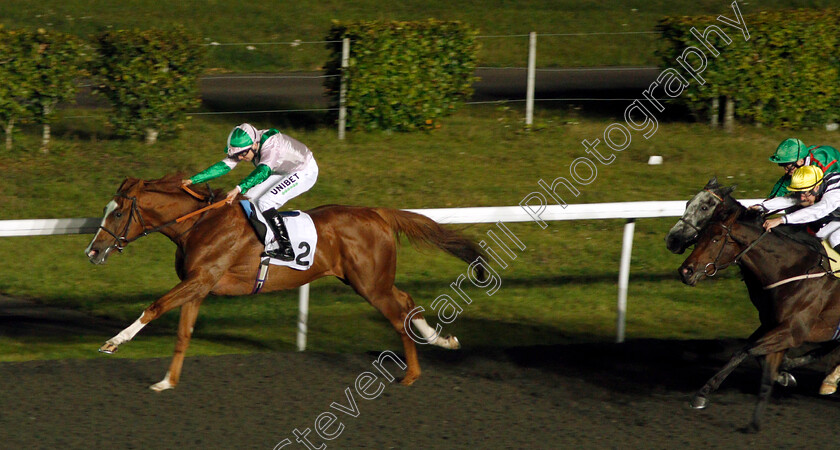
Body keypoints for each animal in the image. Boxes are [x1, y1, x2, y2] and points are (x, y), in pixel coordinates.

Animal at [85, 174, 486, 392]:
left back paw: (412, 374)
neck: (200, 223)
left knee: (398, 314)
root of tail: (377, 212)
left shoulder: (201, 278)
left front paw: (113, 343)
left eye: (118, 213)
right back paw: (442, 340)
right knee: (407, 300)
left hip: (370, 284)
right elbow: (183, 334)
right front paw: (167, 382)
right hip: (371, 280)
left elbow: (154, 307)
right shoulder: (198, 285)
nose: (93, 251)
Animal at [680, 203, 840, 428]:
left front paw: (702, 394)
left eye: (716, 238)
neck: (794, 270)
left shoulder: (794, 330)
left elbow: (745, 351)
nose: (685, 271)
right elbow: (754, 351)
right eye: (700, 236)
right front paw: (783, 374)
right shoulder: (771, 322)